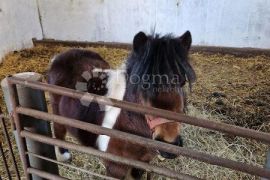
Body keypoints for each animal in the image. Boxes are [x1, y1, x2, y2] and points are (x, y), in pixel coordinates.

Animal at [47, 31, 196, 179]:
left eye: (182, 82)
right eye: (144, 84)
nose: (169, 145)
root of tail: (60, 56)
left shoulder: (141, 162)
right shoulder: (115, 168)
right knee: (59, 131)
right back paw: (63, 156)